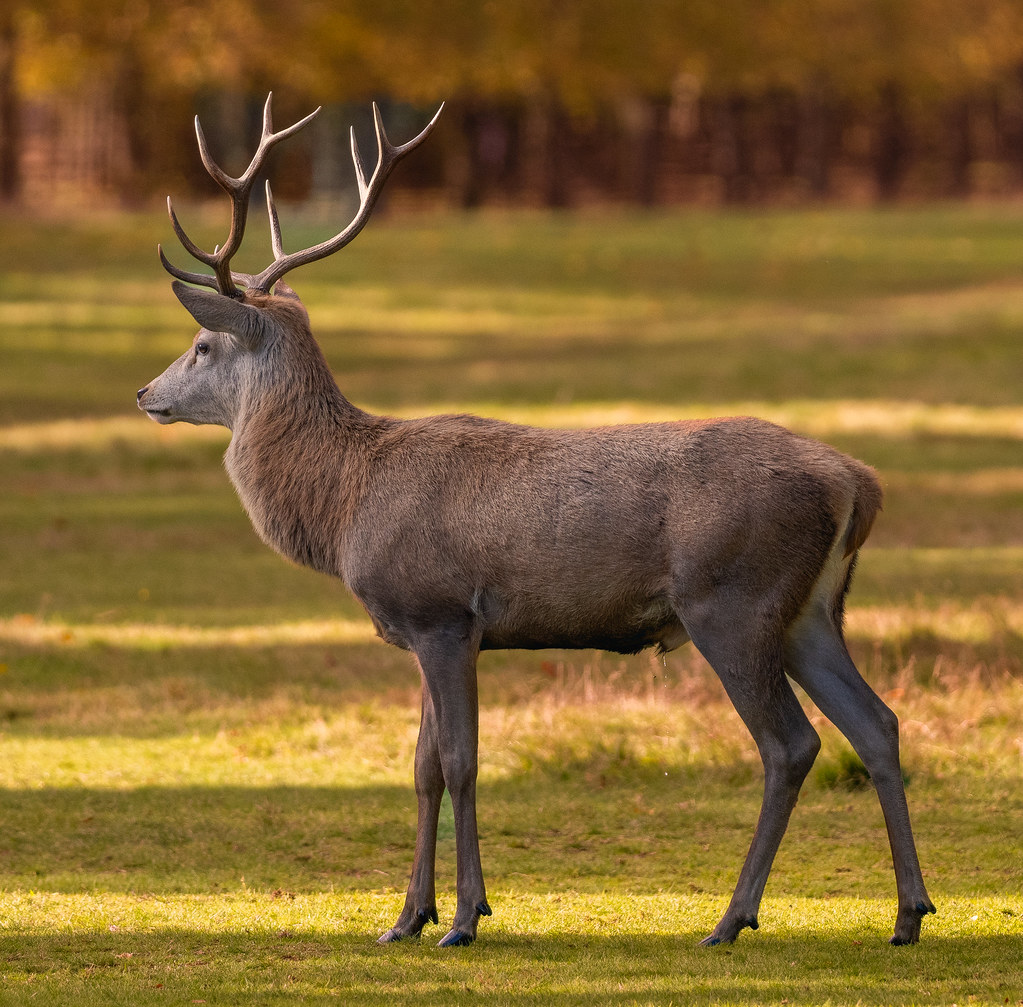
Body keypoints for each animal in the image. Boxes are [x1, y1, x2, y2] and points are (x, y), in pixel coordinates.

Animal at [137, 93, 935, 949]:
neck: (345, 504)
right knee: (876, 721)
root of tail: (856, 481)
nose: (145, 393)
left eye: (201, 343)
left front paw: (463, 917)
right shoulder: (427, 630)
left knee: (791, 743)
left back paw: (732, 917)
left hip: (732, 599)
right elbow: (420, 766)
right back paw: (908, 911)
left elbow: (460, 761)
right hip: (810, 609)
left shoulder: (441, 612)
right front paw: (406, 916)